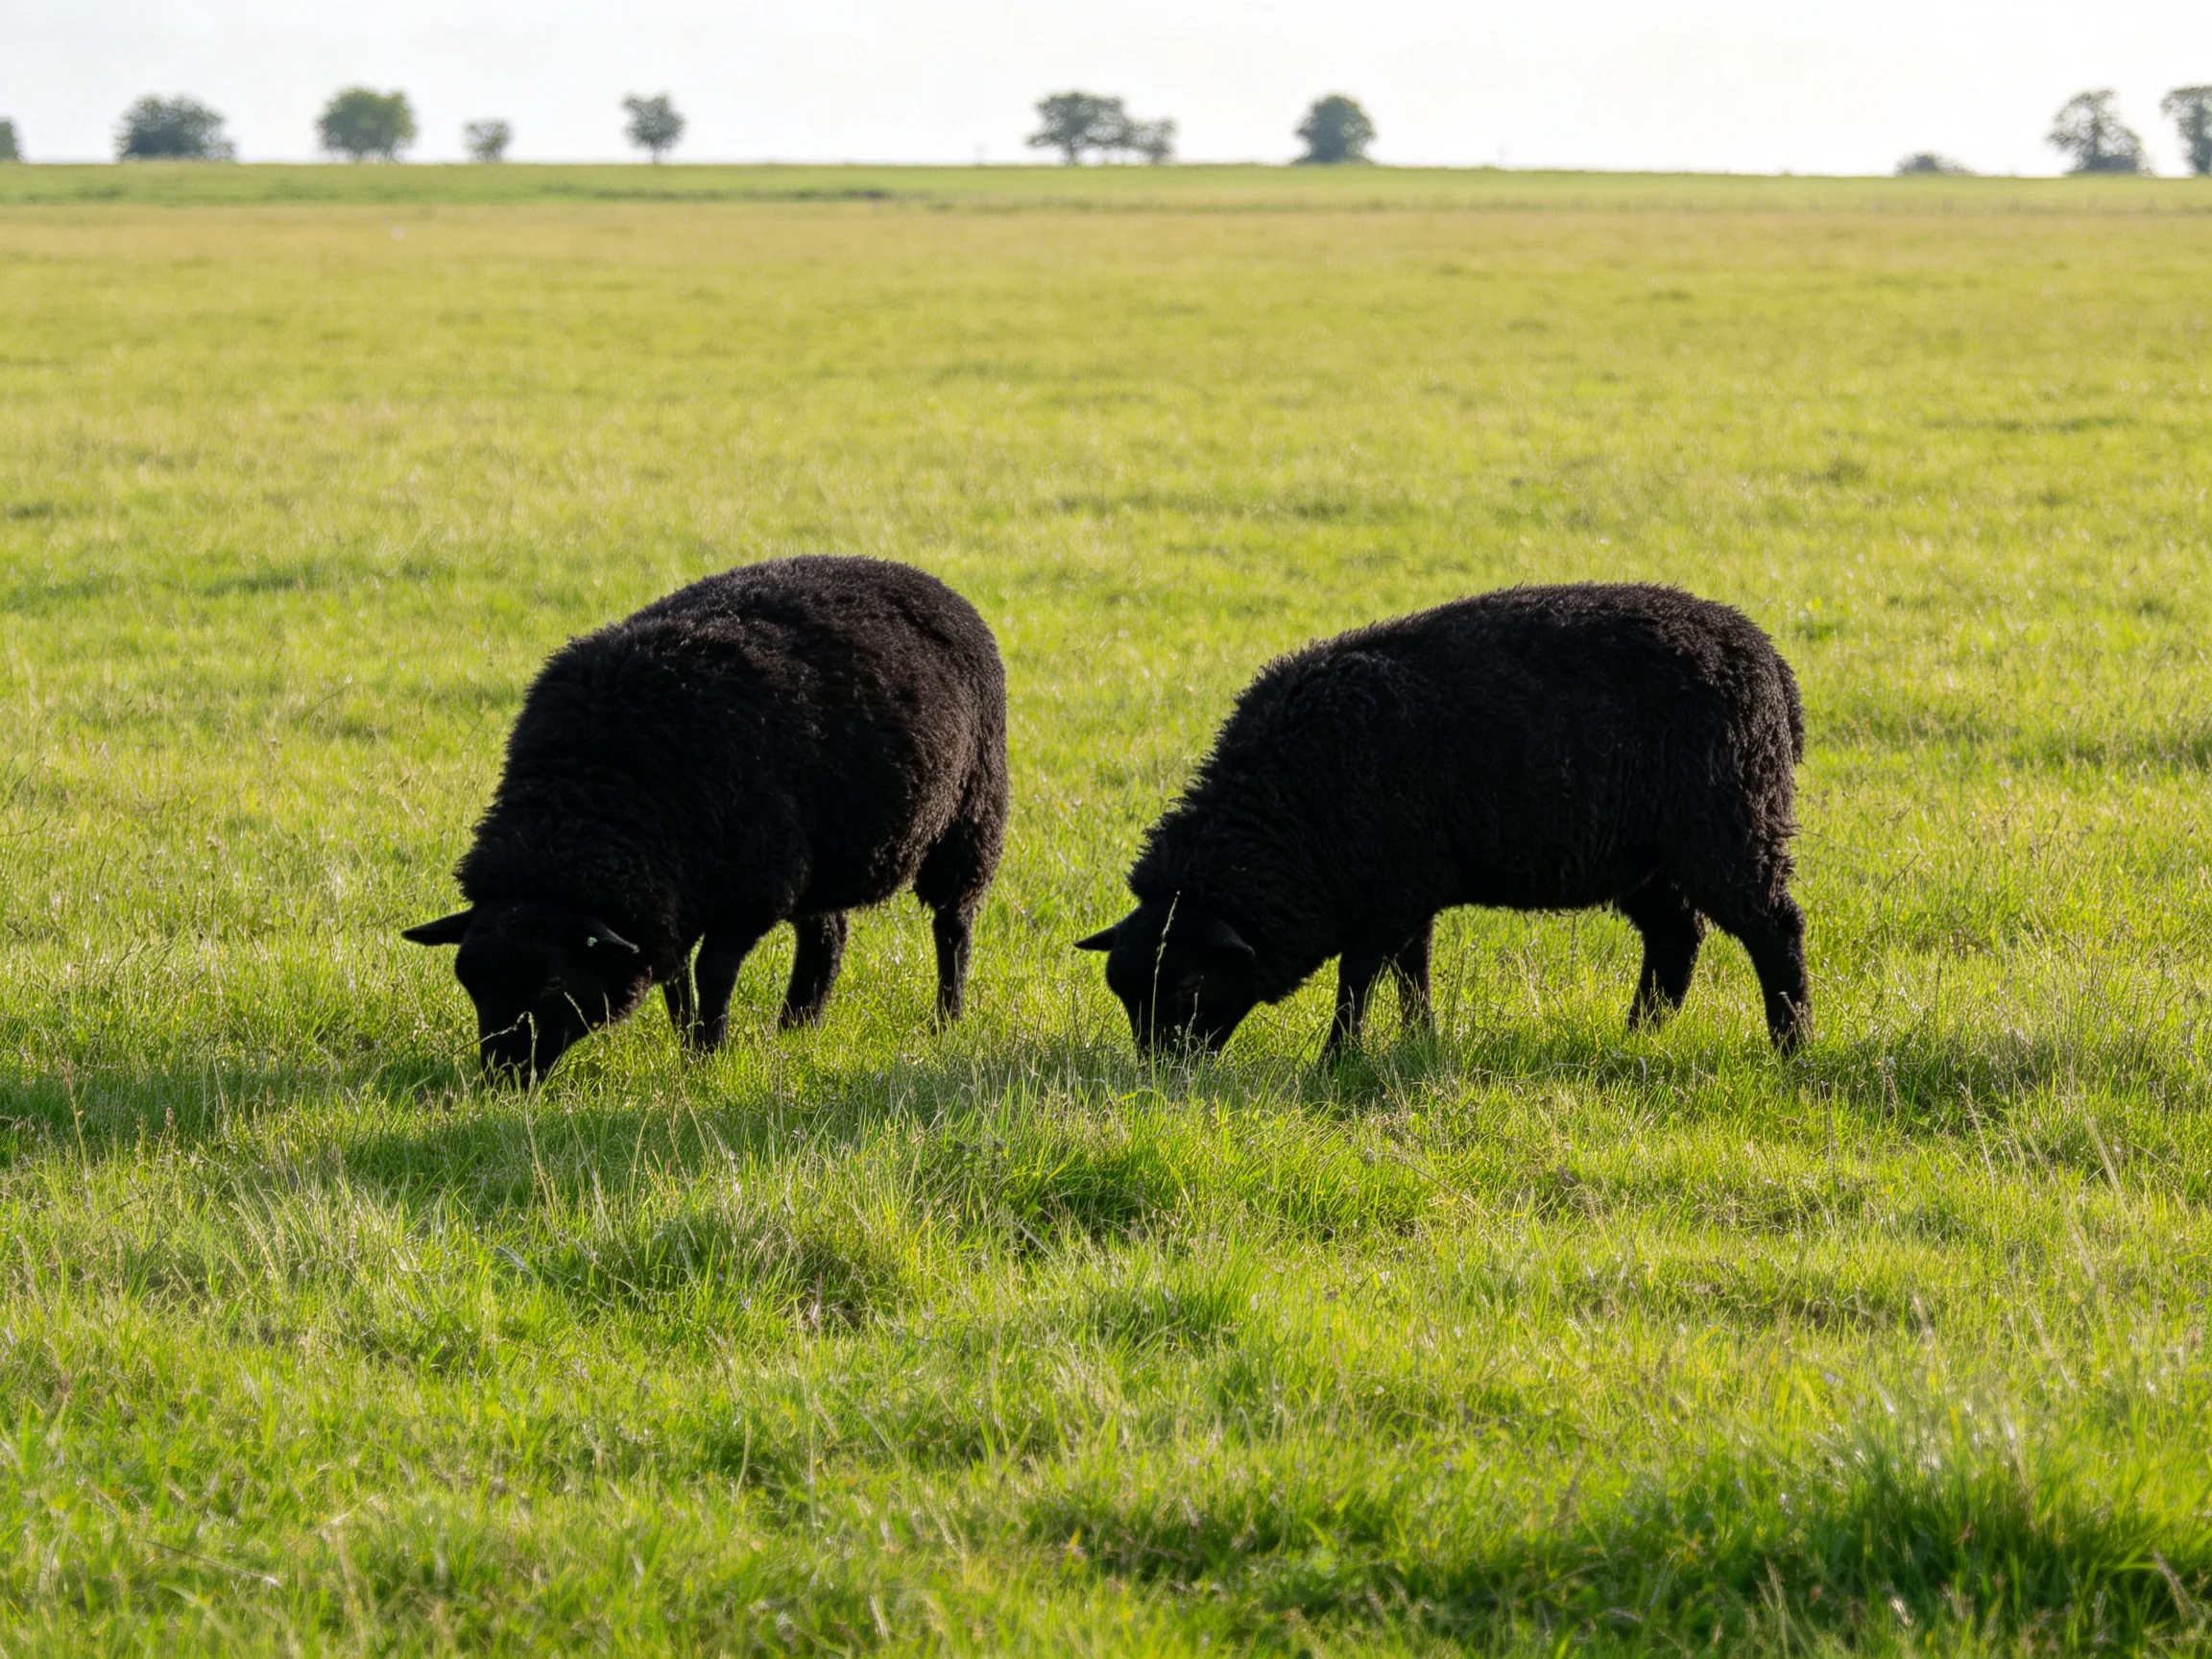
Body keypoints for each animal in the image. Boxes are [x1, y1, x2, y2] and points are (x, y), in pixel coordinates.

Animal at [405, 555, 1008, 1083]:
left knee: (952, 926)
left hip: (969, 818)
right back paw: (795, 1028)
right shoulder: (675, 890)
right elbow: (675, 981)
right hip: (819, 857)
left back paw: (946, 1020)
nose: (503, 1079)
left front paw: (706, 1054)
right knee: (827, 936)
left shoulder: (748, 891)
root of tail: (916, 576)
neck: (589, 788)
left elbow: (711, 973)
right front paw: (686, 1041)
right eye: (469, 981)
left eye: (554, 984)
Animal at [1078, 583, 1809, 1057]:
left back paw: (1791, 1043)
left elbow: (1359, 977)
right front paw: (1417, 1041)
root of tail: (1771, 663)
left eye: (1190, 985)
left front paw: (1337, 1058)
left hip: (1726, 827)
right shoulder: (1411, 887)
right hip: (1642, 856)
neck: (1291, 815)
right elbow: (1411, 972)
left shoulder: (1391, 892)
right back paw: (1637, 1036)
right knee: (1675, 938)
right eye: (1124, 994)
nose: (1163, 1075)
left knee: (1774, 930)